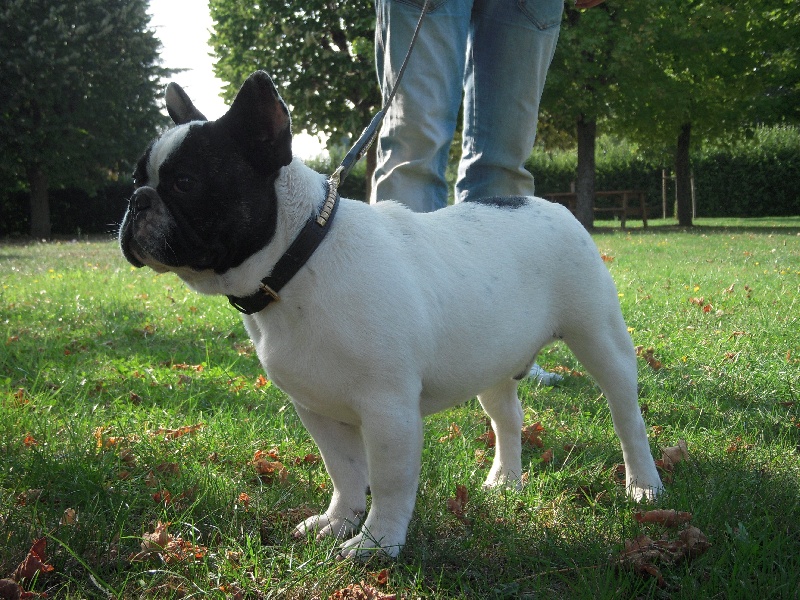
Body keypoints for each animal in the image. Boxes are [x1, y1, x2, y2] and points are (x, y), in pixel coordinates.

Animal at [119, 72, 664, 560]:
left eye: (185, 183)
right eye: (136, 178)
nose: (135, 201)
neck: (298, 261)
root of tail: (548, 205)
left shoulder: (388, 411)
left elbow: (387, 480)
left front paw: (378, 543)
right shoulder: (316, 408)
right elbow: (343, 471)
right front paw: (338, 522)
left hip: (599, 339)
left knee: (627, 417)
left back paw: (643, 485)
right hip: (489, 360)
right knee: (508, 417)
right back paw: (505, 479)